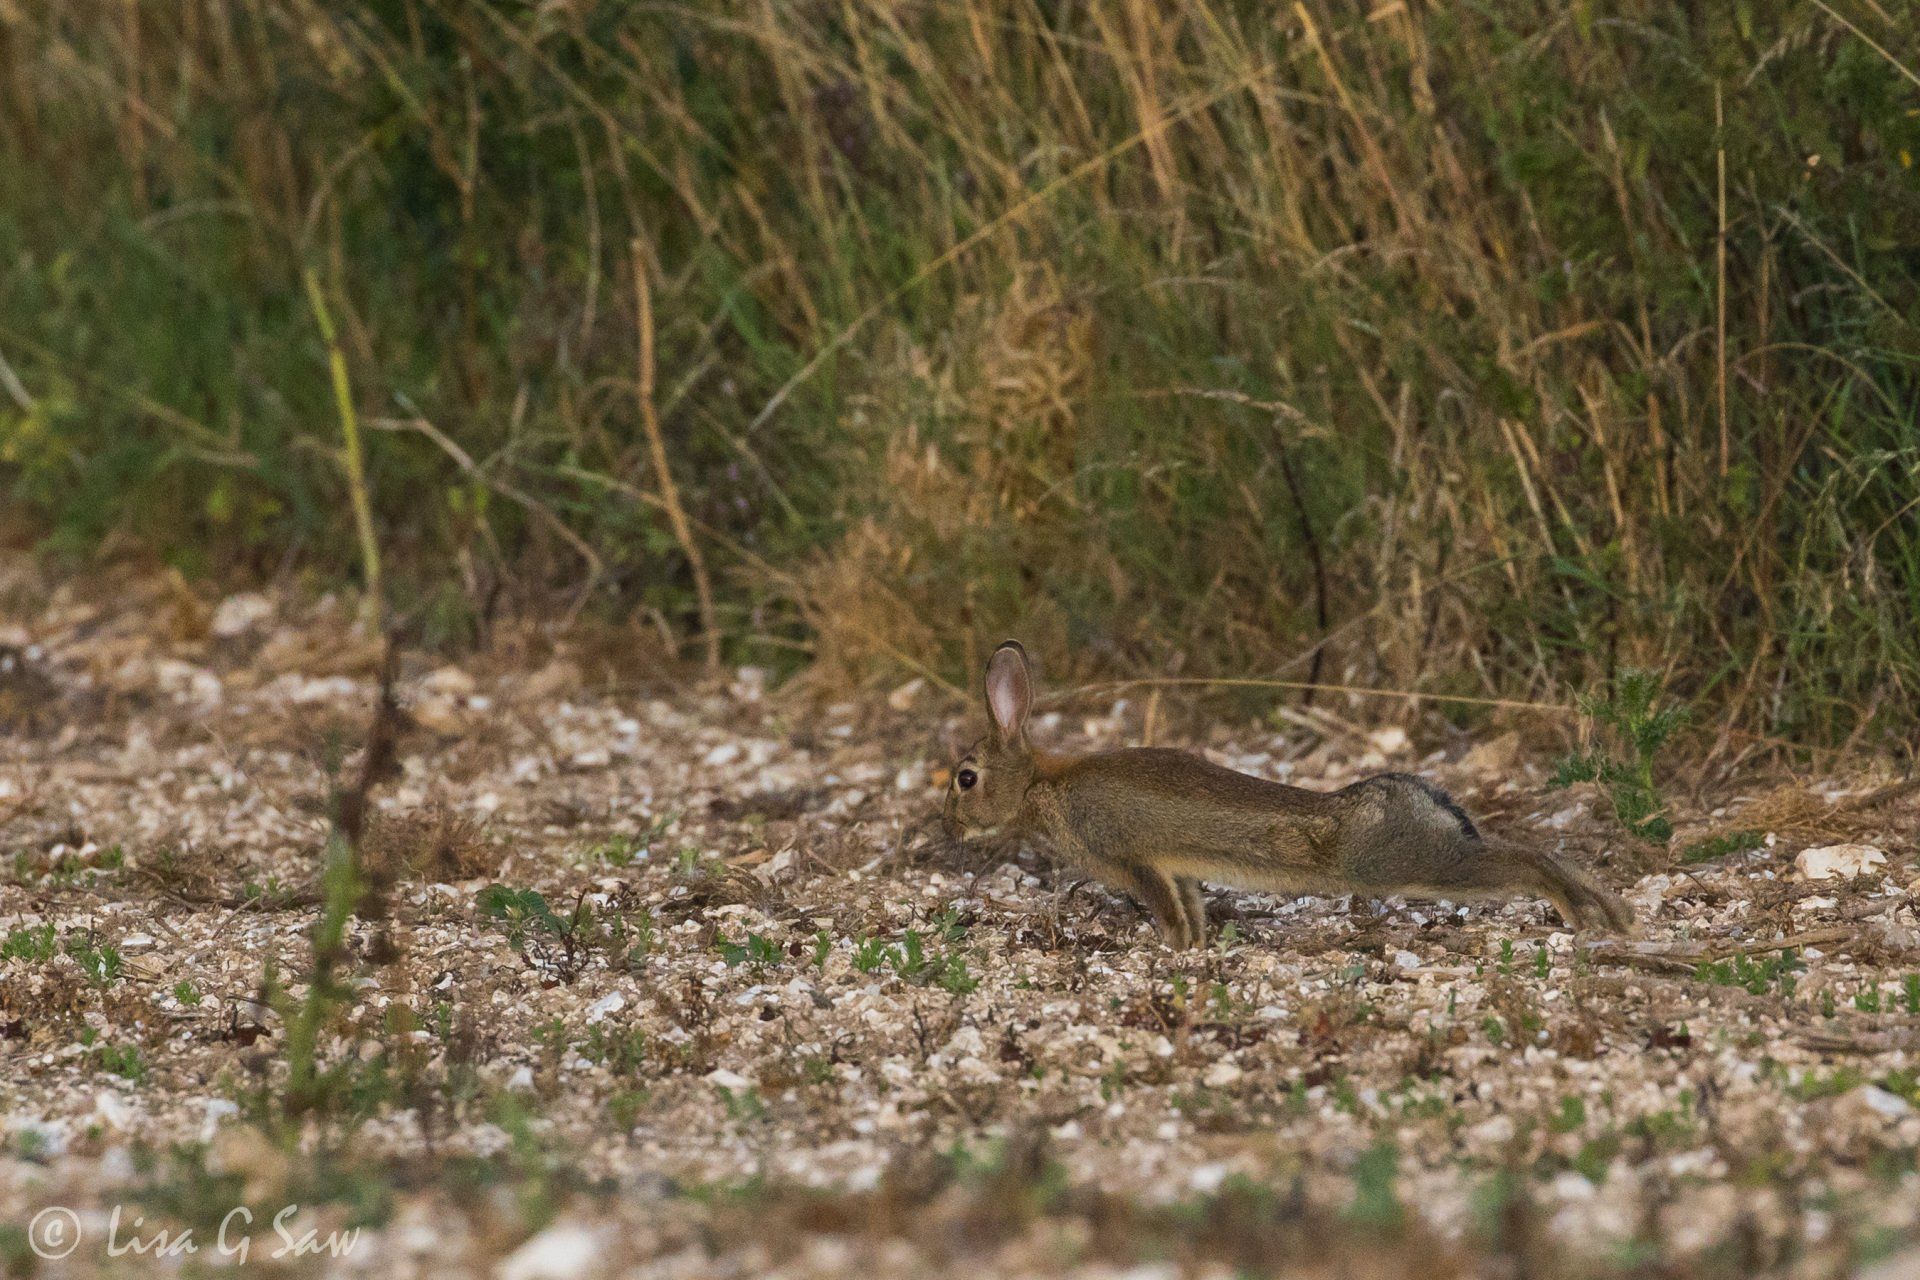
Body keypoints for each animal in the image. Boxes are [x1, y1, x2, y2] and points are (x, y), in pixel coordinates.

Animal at [942, 640, 1633, 948]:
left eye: (965, 777)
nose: (949, 829)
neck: (1041, 785)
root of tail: (1423, 799)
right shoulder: (1175, 870)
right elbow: (1190, 905)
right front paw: (1197, 946)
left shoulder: (1132, 859)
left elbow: (1167, 909)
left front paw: (1174, 950)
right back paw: (1618, 916)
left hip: (1397, 863)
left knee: (1528, 860)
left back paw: (1583, 916)